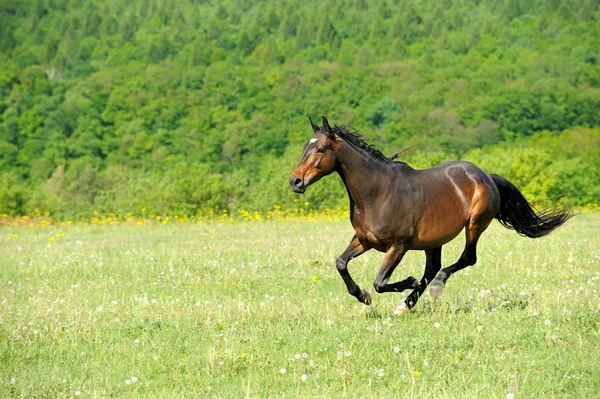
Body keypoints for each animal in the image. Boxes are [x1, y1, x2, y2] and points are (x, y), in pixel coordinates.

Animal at [290, 116, 572, 316]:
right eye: (304, 147)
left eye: (321, 149)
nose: (295, 181)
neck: (376, 192)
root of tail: (486, 176)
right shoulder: (365, 240)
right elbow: (341, 263)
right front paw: (363, 295)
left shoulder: (398, 246)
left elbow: (381, 282)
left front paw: (406, 282)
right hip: (433, 240)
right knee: (433, 267)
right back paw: (405, 305)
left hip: (474, 225)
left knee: (464, 259)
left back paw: (432, 288)